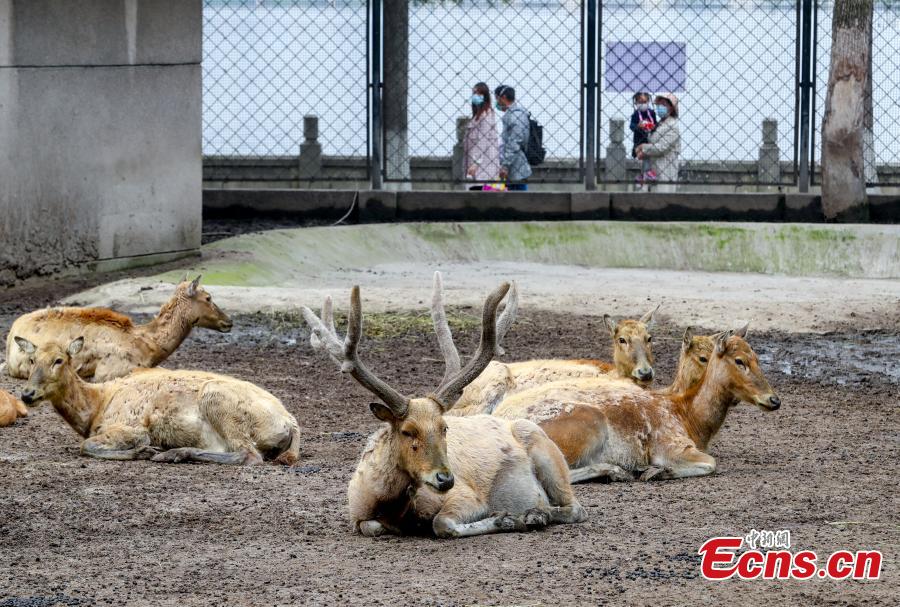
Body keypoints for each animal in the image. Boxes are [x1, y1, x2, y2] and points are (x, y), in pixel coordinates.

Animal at [15, 336, 300, 465]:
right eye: (32, 359)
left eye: (59, 360)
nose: (27, 394)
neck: (96, 406)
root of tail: (290, 422)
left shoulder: (130, 426)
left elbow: (86, 446)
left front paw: (144, 450)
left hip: (217, 400)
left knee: (249, 455)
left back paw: (171, 453)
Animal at [301, 281, 586, 539]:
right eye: (407, 431)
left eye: (444, 427)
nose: (445, 479)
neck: (391, 506)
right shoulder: (356, 513)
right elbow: (373, 527)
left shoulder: (467, 496)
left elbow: (441, 524)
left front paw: (506, 518)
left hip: (547, 453)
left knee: (576, 508)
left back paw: (535, 514)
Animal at [491, 325, 780, 483]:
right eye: (740, 361)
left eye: (758, 357)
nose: (774, 399)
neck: (690, 419)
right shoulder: (670, 444)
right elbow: (711, 462)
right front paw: (657, 471)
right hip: (586, 427)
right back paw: (616, 471)